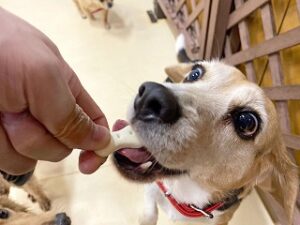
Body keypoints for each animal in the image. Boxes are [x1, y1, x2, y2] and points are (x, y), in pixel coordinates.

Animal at [112, 60, 298, 225]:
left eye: (246, 122)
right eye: (195, 73)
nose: (150, 96)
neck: (184, 193)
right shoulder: (153, 189)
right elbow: (149, 213)